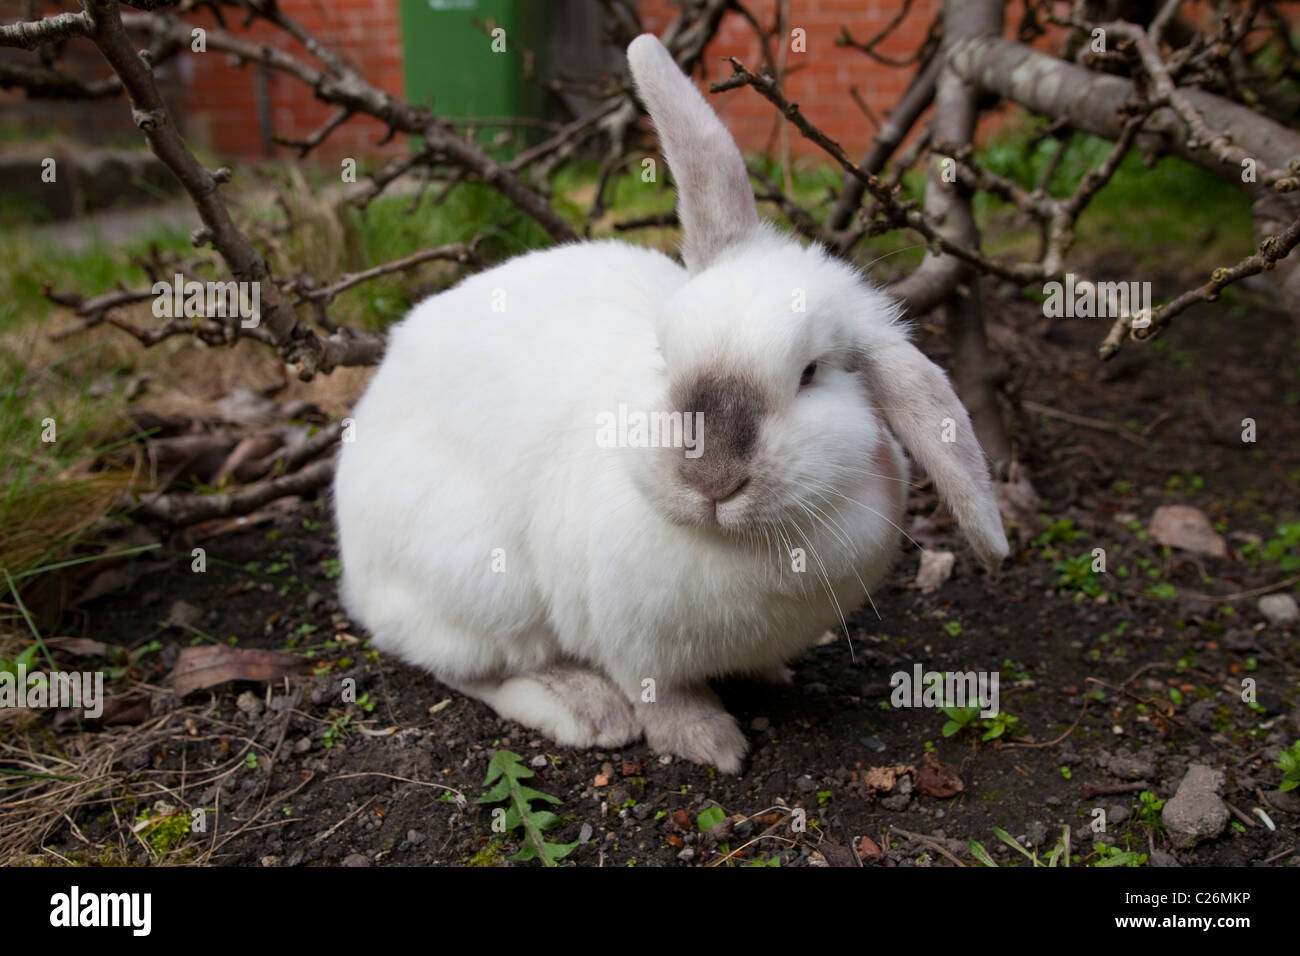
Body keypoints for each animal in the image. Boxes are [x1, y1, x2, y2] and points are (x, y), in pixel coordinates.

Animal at [332, 33, 1003, 775]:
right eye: (663, 350)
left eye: (810, 374)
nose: (711, 478)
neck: (732, 544)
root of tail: (356, 573)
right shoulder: (629, 644)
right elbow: (659, 694)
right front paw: (709, 743)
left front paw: (770, 675)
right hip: (479, 581)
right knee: (469, 666)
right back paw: (584, 709)